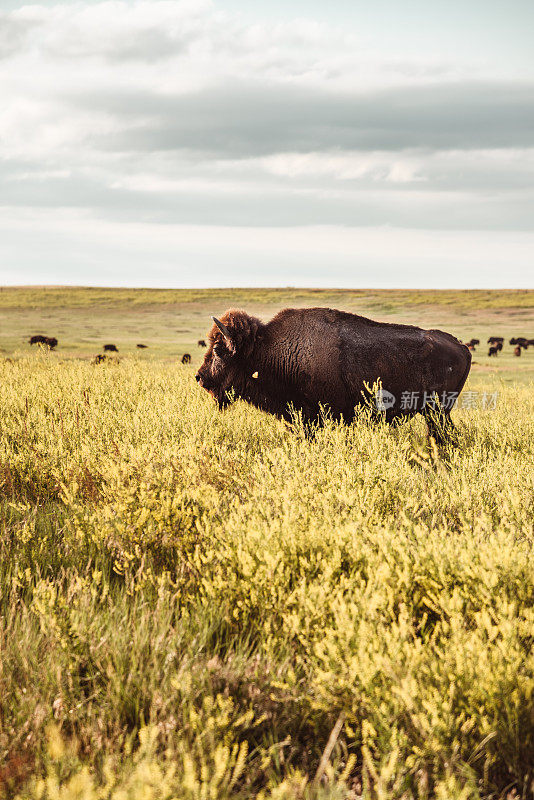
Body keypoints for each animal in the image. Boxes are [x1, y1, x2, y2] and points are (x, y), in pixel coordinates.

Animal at [195, 308, 472, 444]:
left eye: (218, 349)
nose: (200, 377)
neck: (266, 348)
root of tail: (461, 346)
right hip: (436, 413)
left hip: (438, 411)